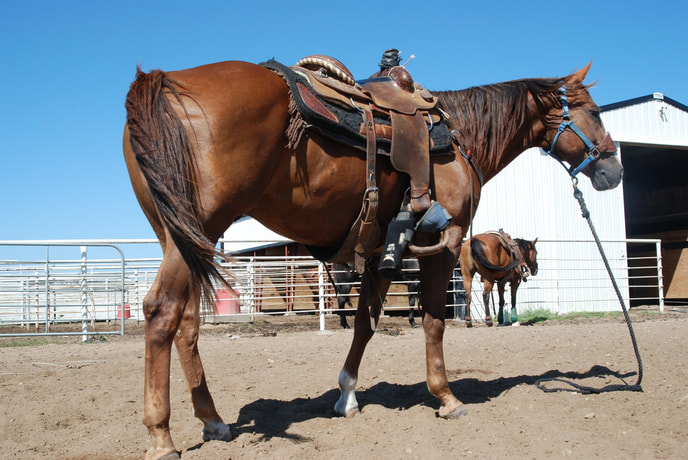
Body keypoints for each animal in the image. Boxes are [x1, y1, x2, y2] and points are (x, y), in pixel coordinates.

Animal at [123, 48, 624, 458]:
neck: (460, 136)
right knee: (161, 311)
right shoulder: (442, 247)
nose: (614, 169)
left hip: (181, 237)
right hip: (197, 231)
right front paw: (446, 397)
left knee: (188, 322)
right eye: (594, 111)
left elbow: (365, 323)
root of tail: (162, 81)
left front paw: (346, 397)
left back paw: (213, 421)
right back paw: (162, 436)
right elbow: (434, 322)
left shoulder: (384, 249)